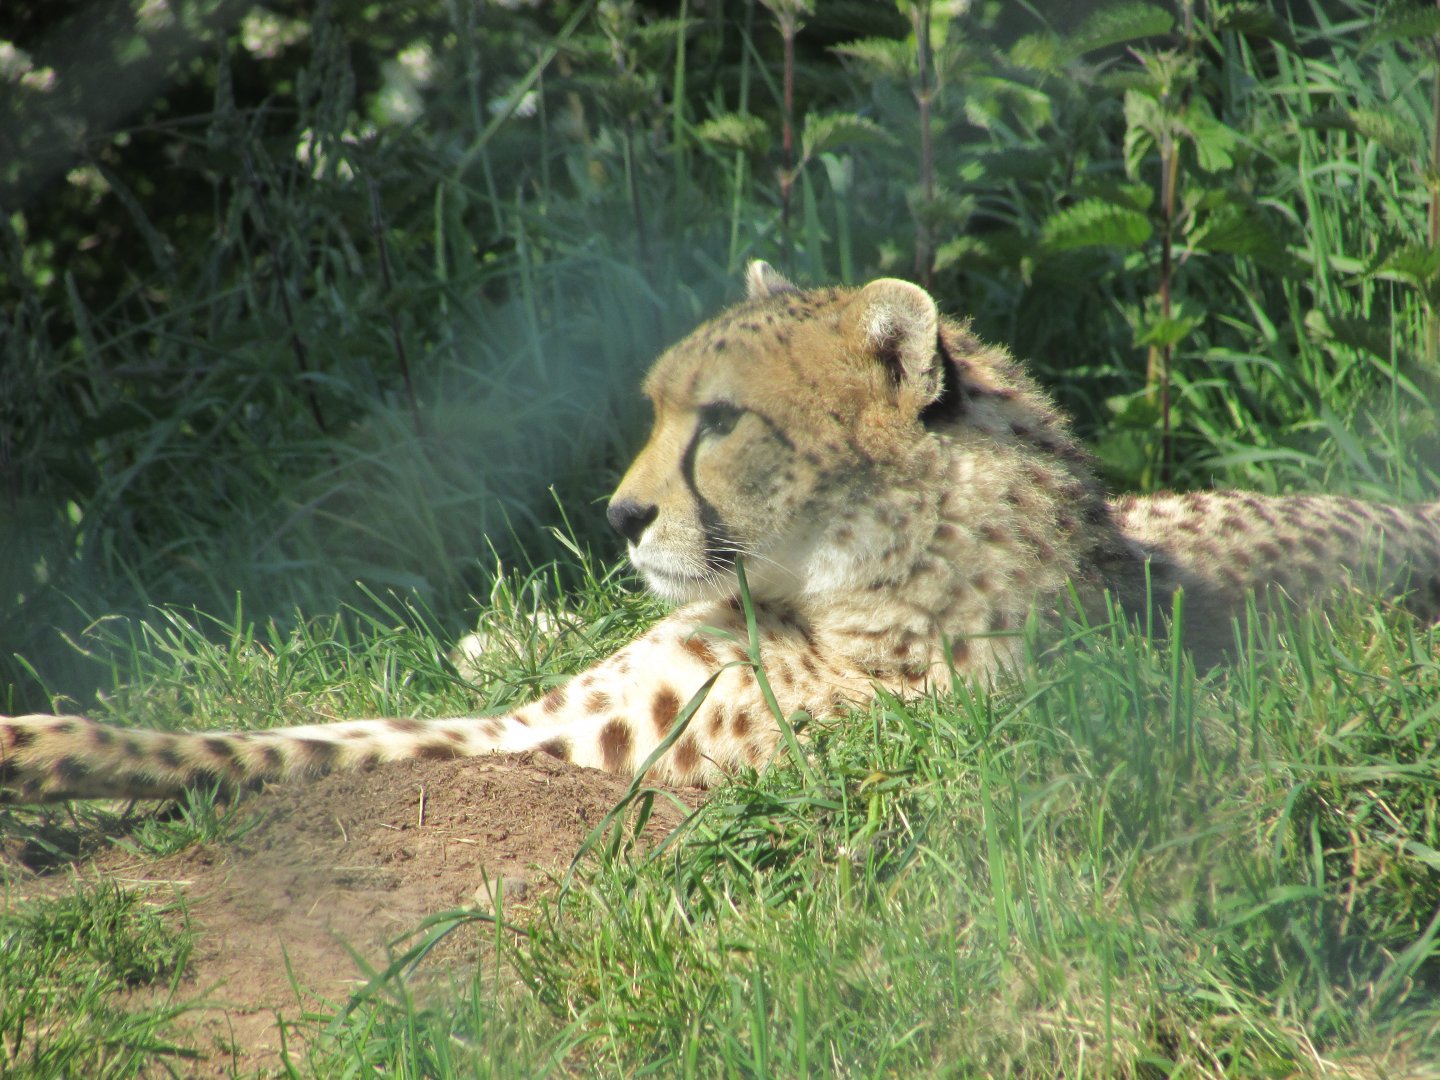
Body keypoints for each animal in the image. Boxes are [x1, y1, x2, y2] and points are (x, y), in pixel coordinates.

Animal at [4, 261, 1439, 803]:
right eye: (655, 409)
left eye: (724, 421)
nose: (620, 515)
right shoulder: (531, 724)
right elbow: (311, 727)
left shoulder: (567, 754)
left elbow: (265, 748)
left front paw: (44, 751)